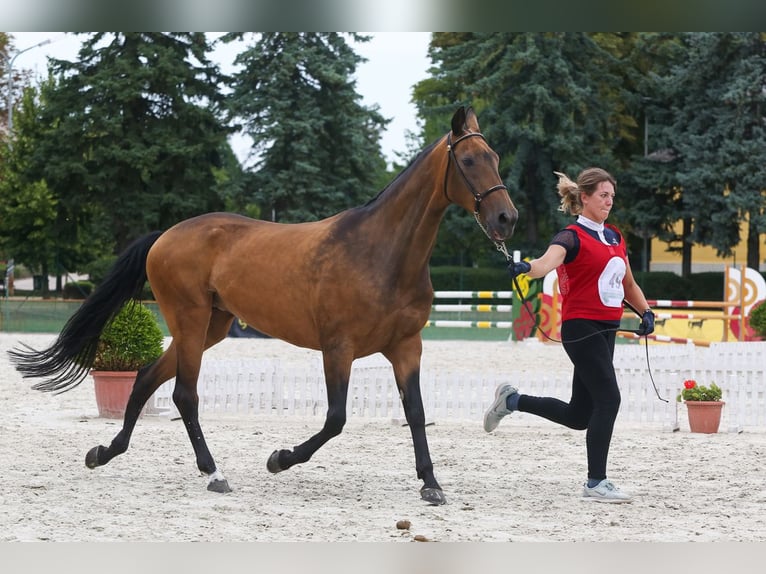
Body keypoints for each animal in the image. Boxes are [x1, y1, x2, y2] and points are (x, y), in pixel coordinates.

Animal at [9, 106, 520, 506]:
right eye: (469, 159)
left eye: (495, 158)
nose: (506, 218)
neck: (380, 253)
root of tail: (166, 235)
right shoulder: (337, 349)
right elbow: (335, 419)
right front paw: (280, 459)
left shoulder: (407, 347)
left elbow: (414, 412)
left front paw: (431, 483)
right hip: (191, 321)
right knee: (184, 395)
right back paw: (213, 473)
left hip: (211, 327)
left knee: (145, 379)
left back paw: (105, 452)